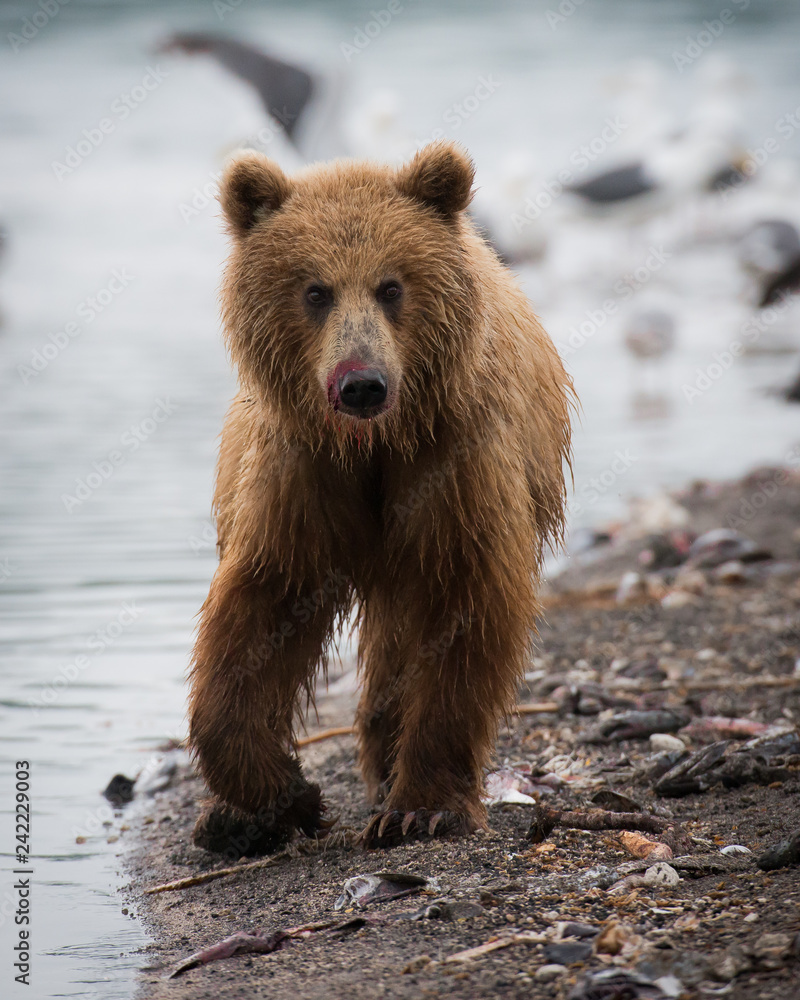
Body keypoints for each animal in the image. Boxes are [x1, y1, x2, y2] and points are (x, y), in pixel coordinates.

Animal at [188, 140, 573, 855]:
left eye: (391, 286)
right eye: (315, 290)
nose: (361, 384)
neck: (373, 447)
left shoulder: (455, 467)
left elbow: (466, 612)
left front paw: (422, 807)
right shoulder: (302, 480)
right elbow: (259, 610)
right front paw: (283, 794)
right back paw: (227, 820)